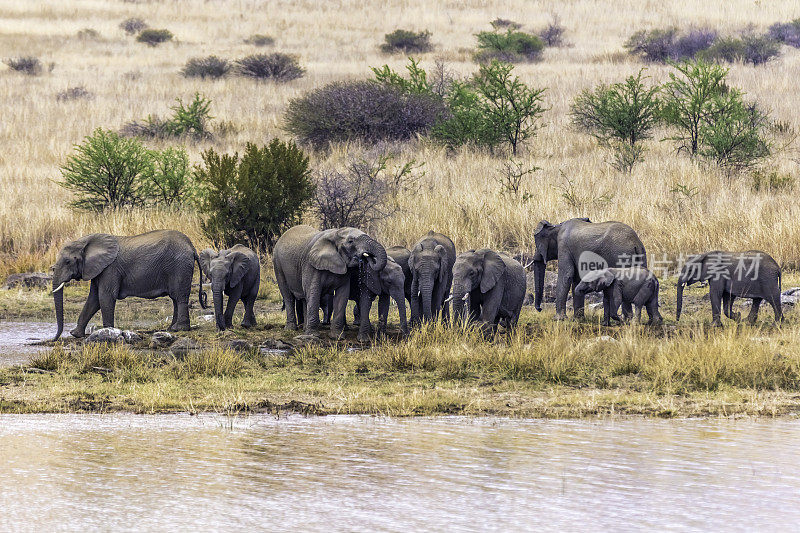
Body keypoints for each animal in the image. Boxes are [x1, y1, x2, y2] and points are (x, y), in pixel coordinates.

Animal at [50, 228, 206, 336]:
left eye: (68, 261)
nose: (55, 338)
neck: (85, 242)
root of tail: (192, 248)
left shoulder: (110, 268)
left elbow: (105, 297)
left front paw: (108, 332)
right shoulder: (98, 269)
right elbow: (93, 299)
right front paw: (76, 334)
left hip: (179, 266)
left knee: (179, 297)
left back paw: (180, 329)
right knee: (175, 298)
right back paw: (172, 329)